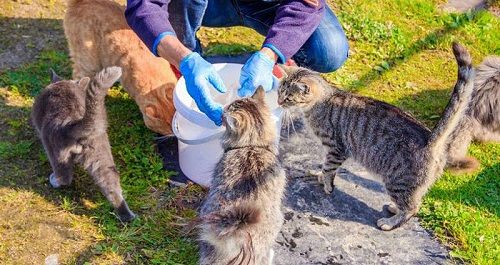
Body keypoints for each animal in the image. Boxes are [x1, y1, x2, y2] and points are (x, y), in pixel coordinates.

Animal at [32, 65, 136, 221]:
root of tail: (74, 121)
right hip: (102, 156)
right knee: (112, 185)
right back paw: (126, 216)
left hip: (54, 149)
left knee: (65, 177)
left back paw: (54, 180)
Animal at [278, 42, 476, 230]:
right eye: (280, 91)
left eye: (288, 98)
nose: (279, 102)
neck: (322, 102)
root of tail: (430, 140)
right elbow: (327, 168)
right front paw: (320, 176)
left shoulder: (336, 149)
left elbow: (328, 168)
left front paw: (326, 184)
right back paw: (394, 209)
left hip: (397, 182)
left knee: (412, 208)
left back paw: (389, 223)